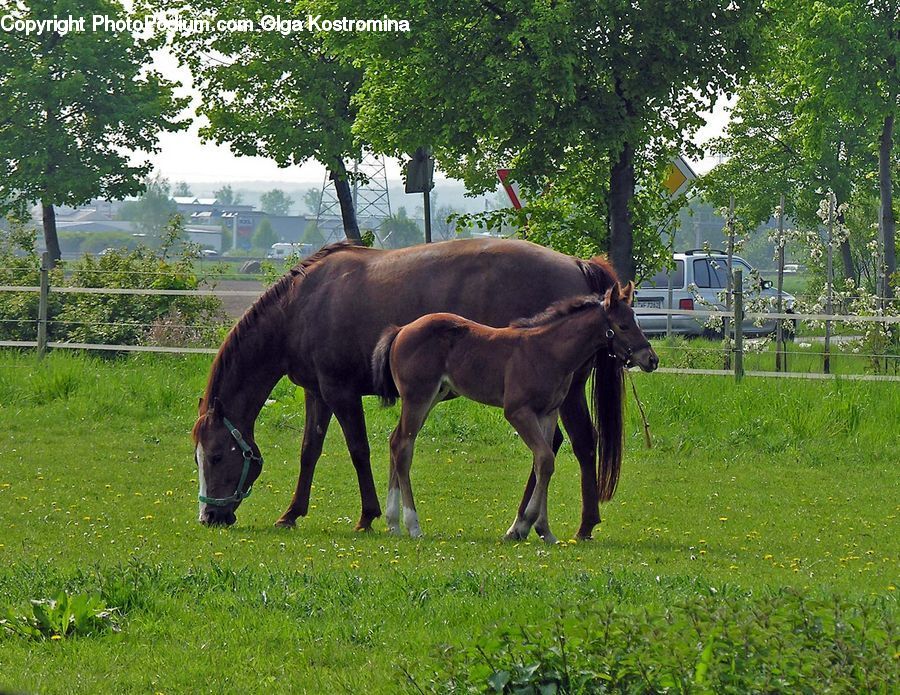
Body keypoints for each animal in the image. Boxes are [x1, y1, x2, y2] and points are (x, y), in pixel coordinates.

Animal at [192, 238, 623, 538]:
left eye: (215, 456)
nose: (209, 516)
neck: (304, 304)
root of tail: (577, 263)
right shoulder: (317, 393)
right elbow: (309, 451)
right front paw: (292, 513)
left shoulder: (341, 392)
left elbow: (358, 450)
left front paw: (368, 516)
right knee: (554, 447)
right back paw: (529, 523)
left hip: (566, 393)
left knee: (579, 444)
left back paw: (578, 524)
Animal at [371, 282, 658, 543]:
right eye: (623, 326)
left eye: (637, 321)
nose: (651, 359)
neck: (548, 351)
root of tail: (401, 330)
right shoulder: (518, 411)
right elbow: (545, 459)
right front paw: (523, 526)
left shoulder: (547, 413)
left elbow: (543, 463)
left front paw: (544, 530)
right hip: (418, 397)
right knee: (403, 447)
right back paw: (413, 525)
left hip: (431, 397)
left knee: (396, 441)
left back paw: (393, 523)